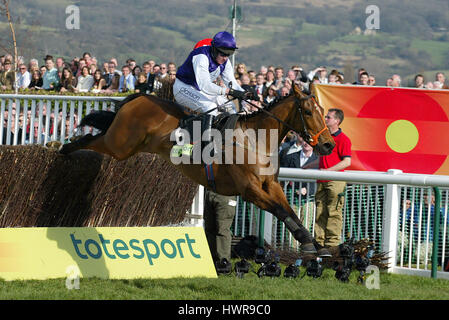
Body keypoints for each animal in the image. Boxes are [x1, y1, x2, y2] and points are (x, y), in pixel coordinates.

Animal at [59, 84, 332, 256]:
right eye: (308, 112)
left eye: (323, 111)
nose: (328, 144)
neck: (255, 140)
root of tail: (138, 97)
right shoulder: (249, 189)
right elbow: (279, 210)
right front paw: (310, 243)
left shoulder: (271, 185)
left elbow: (289, 211)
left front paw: (313, 243)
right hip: (120, 145)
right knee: (92, 139)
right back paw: (64, 149)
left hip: (127, 146)